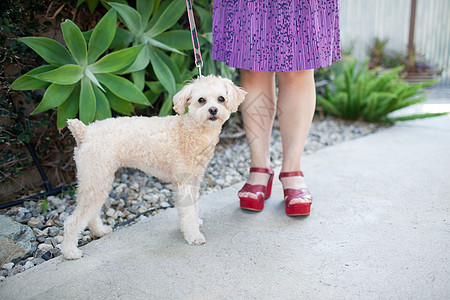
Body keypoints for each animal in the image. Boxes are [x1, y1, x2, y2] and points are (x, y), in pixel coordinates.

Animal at [60, 74, 246, 258]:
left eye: (221, 99)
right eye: (201, 100)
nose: (213, 110)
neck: (191, 130)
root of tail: (85, 132)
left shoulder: (194, 180)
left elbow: (193, 207)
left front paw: (196, 221)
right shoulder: (184, 183)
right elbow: (187, 212)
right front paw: (193, 236)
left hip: (98, 180)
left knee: (91, 214)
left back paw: (99, 231)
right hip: (96, 180)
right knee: (72, 221)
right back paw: (70, 251)